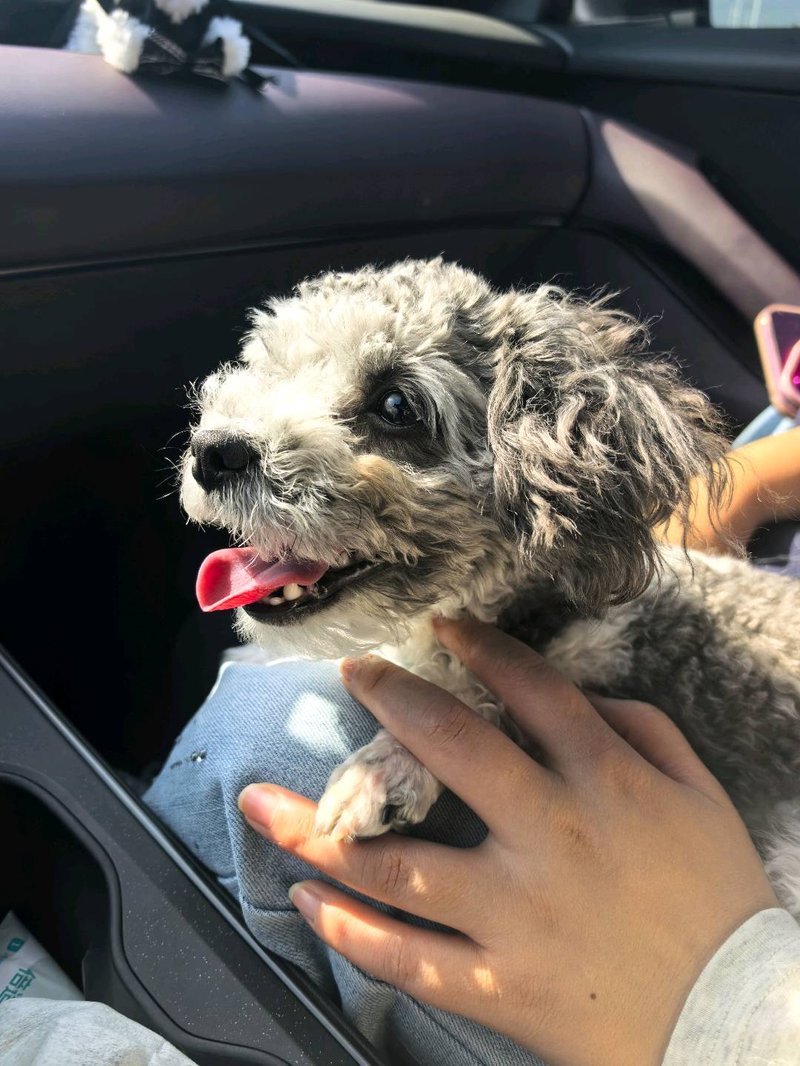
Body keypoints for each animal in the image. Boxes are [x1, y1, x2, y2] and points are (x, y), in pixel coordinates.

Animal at [180, 258, 800, 916]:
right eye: (270, 368)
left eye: (395, 404)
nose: (213, 453)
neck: (529, 612)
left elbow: (475, 698)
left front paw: (387, 768)